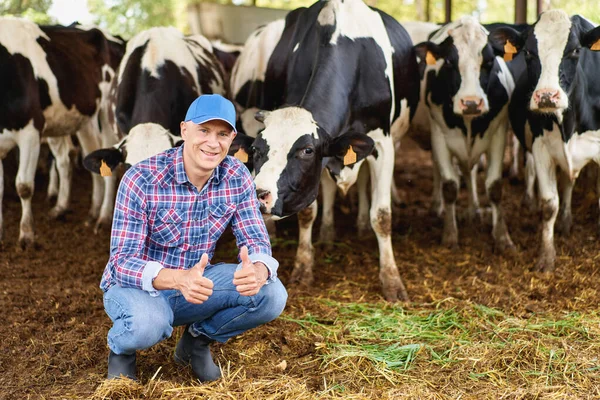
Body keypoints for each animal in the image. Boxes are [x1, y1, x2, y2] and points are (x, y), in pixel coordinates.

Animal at [0, 19, 123, 250]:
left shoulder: (31, 130)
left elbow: (24, 186)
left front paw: (27, 235)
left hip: (106, 113)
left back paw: (103, 218)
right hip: (83, 120)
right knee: (81, 159)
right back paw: (80, 211)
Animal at [412, 17, 516, 253]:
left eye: (489, 61)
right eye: (450, 62)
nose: (471, 103)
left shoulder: (498, 133)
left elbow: (494, 187)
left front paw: (502, 236)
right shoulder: (439, 135)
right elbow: (450, 185)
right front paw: (450, 235)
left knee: (471, 171)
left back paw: (473, 210)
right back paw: (437, 206)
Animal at [488, 10, 600, 272]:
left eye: (576, 50)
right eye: (529, 53)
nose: (547, 96)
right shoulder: (541, 148)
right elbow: (550, 204)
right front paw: (546, 257)